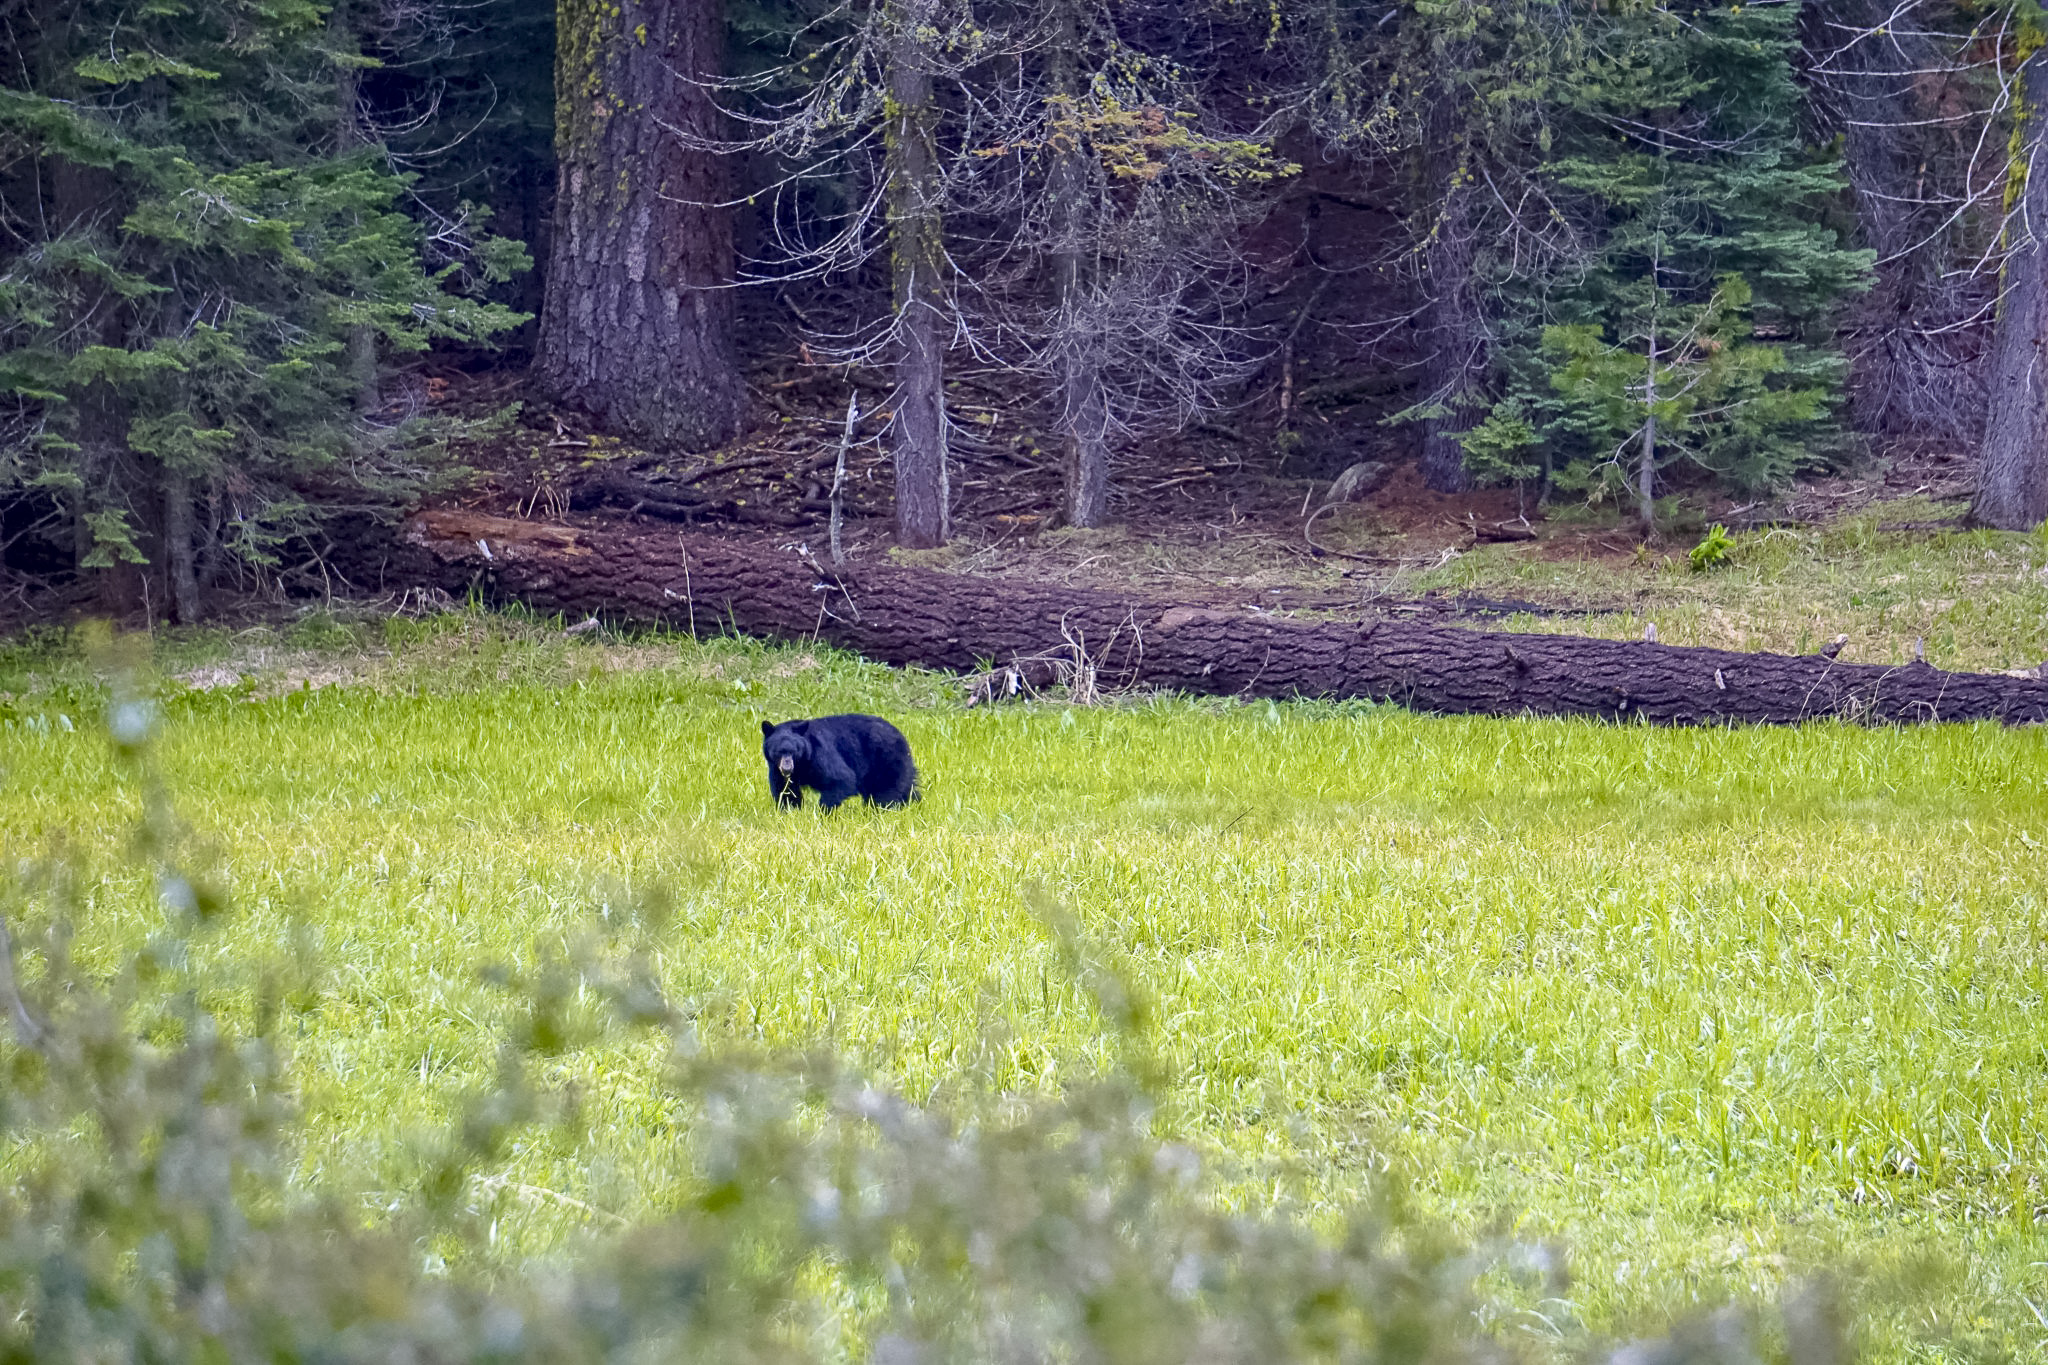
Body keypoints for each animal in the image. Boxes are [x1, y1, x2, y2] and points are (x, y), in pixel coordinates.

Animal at [761, 716, 921, 810]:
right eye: (779, 752)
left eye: (794, 751)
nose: (787, 767)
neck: (802, 763)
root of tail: (901, 735)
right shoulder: (776, 768)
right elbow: (785, 790)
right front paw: (791, 811)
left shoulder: (819, 754)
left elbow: (840, 778)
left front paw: (824, 811)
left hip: (885, 758)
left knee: (887, 789)